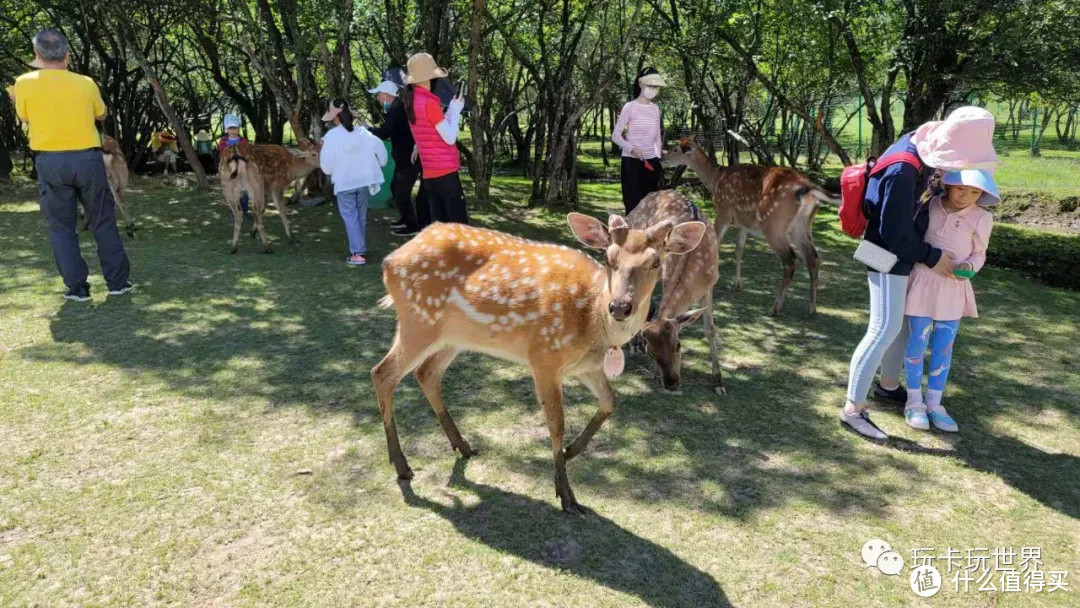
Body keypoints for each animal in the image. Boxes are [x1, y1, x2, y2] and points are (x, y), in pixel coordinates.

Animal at [373, 214, 708, 514]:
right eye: (609, 258)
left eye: (656, 262)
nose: (620, 306)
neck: (594, 323)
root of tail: (388, 263)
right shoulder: (544, 357)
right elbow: (556, 424)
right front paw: (566, 495)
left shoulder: (587, 366)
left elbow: (610, 401)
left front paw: (571, 451)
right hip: (418, 321)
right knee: (382, 373)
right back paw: (403, 467)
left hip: (451, 337)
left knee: (426, 374)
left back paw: (463, 446)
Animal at [626, 191, 725, 399]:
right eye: (651, 352)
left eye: (678, 345)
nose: (671, 383)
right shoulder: (666, 276)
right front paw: (655, 373)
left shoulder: (710, 285)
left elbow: (710, 329)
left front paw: (719, 382)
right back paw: (633, 344)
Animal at [660, 138, 838, 319]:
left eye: (675, 149)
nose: (661, 159)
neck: (715, 179)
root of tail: (808, 188)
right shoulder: (743, 224)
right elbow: (739, 250)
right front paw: (737, 284)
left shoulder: (724, 212)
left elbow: (716, 244)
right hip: (802, 226)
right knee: (813, 258)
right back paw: (812, 308)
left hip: (774, 225)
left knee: (790, 260)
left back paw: (775, 308)